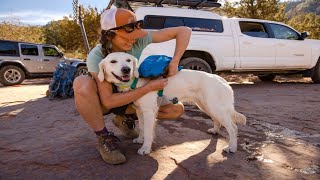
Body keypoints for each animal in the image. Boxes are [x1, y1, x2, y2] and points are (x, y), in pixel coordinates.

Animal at [99, 51, 246, 155]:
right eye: (113, 61)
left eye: (128, 60)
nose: (126, 69)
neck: (135, 82)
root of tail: (222, 80)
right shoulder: (140, 111)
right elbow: (142, 128)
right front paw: (140, 140)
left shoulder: (148, 112)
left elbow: (148, 132)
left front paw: (145, 148)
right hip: (207, 106)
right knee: (217, 121)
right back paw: (215, 130)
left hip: (215, 107)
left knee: (233, 128)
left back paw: (231, 147)